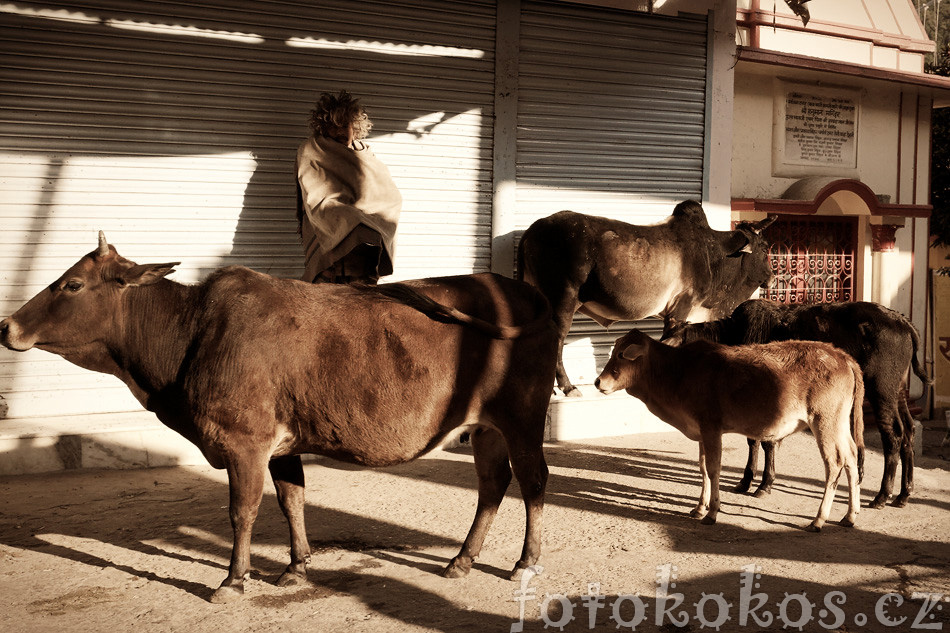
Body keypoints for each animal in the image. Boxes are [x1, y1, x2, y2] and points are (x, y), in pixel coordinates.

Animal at [0, 233, 560, 604]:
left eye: (72, 285)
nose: (7, 325)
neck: (190, 333)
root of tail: (525, 291)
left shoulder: (244, 442)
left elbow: (242, 511)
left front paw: (233, 579)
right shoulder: (280, 446)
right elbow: (292, 502)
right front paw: (295, 567)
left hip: (523, 418)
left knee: (534, 481)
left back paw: (525, 562)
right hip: (484, 427)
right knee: (492, 485)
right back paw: (460, 560)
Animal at [516, 200, 776, 396]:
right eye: (764, 248)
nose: (773, 277)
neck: (714, 253)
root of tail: (534, 229)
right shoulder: (680, 308)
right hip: (563, 300)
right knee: (557, 339)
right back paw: (567, 387)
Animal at [600, 328, 868, 532]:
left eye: (622, 355)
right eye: (614, 352)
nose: (598, 381)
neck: (678, 372)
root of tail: (840, 354)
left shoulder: (711, 427)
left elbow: (713, 469)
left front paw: (712, 512)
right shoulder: (702, 432)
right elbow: (703, 468)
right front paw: (699, 507)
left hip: (824, 422)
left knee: (834, 463)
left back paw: (819, 519)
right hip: (838, 423)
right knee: (851, 457)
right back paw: (850, 515)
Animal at [668, 298, 928, 508]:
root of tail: (902, 321)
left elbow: (766, 441)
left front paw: (764, 484)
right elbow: (753, 440)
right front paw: (746, 480)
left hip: (882, 391)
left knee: (893, 436)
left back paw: (882, 495)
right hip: (899, 393)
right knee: (909, 432)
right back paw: (903, 494)